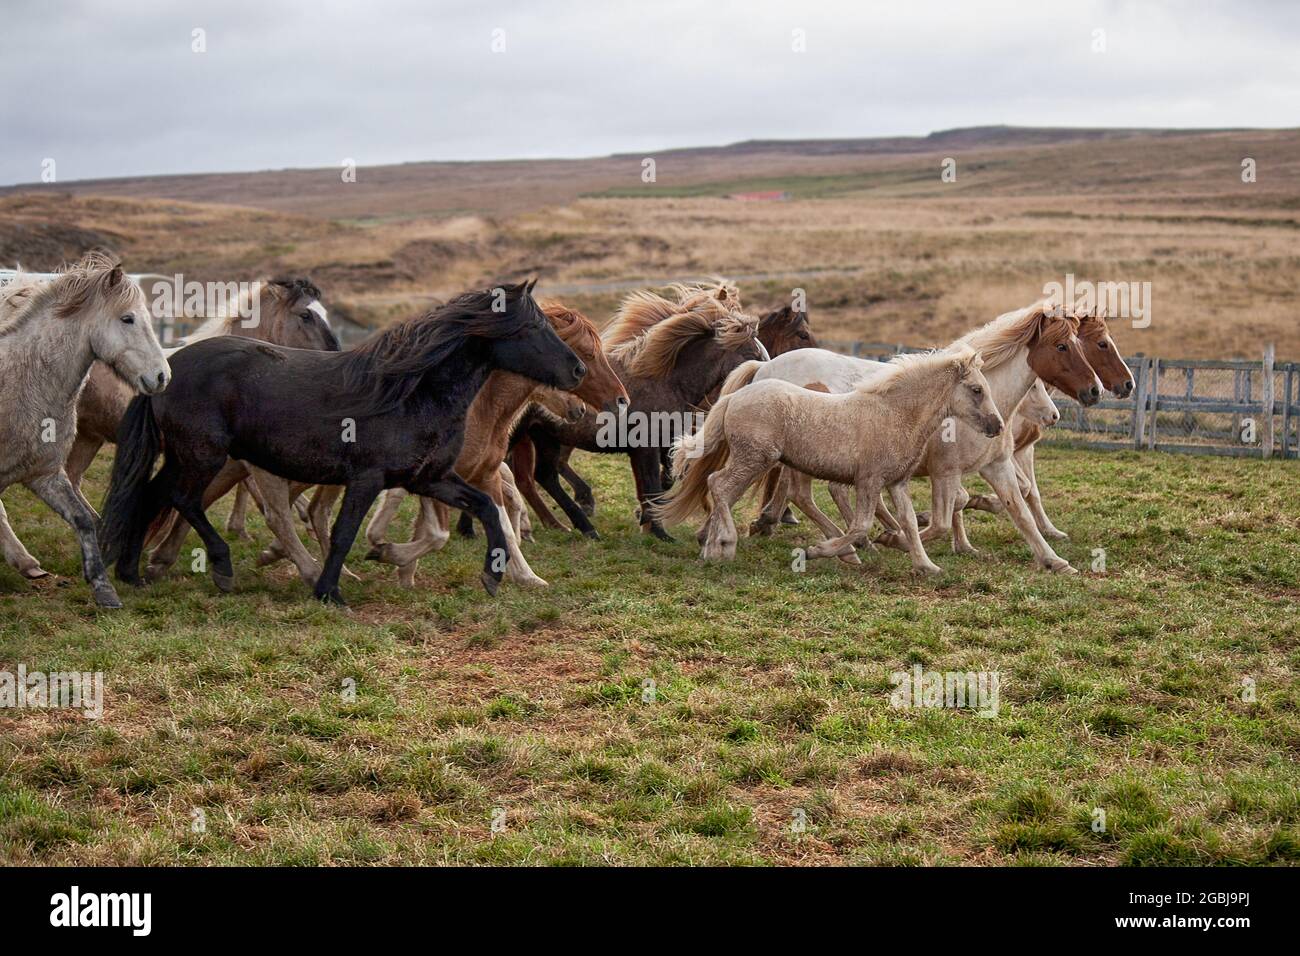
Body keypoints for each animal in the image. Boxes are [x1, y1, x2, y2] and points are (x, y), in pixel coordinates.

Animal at [0, 256, 170, 606]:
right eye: (127, 318)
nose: (162, 376)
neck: (23, 381)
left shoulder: (45, 474)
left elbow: (83, 520)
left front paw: (103, 589)